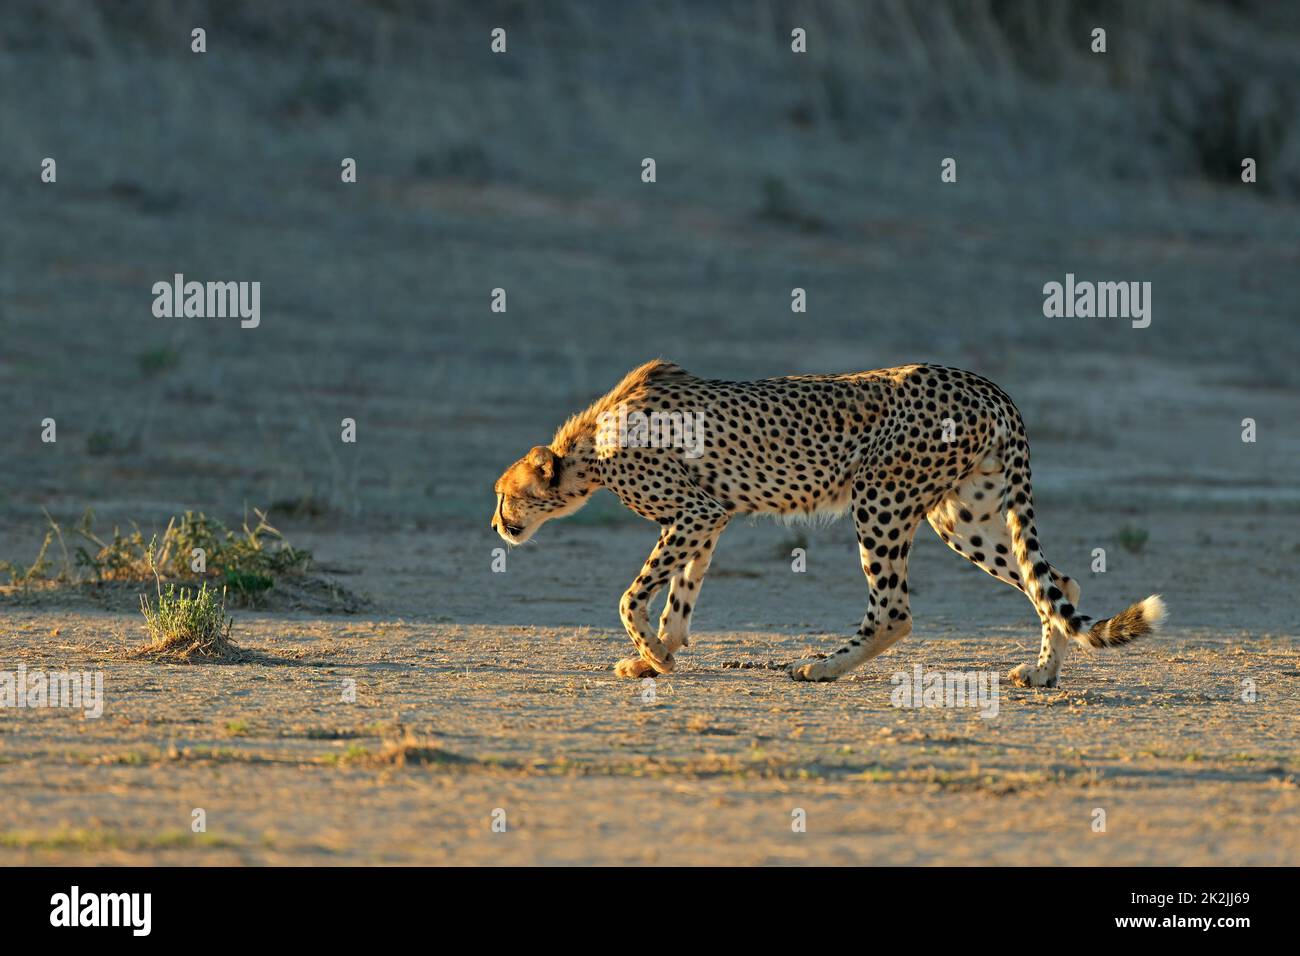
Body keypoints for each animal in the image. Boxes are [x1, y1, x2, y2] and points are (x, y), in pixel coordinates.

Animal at [491, 361, 1164, 686]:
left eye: (503, 497)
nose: (497, 526)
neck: (589, 446)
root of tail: (985, 385)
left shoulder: (696, 512)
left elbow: (631, 598)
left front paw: (653, 657)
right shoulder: (711, 517)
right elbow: (677, 598)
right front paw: (658, 656)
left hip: (881, 495)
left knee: (893, 610)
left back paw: (822, 667)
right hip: (960, 515)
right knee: (1055, 582)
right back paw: (1045, 672)